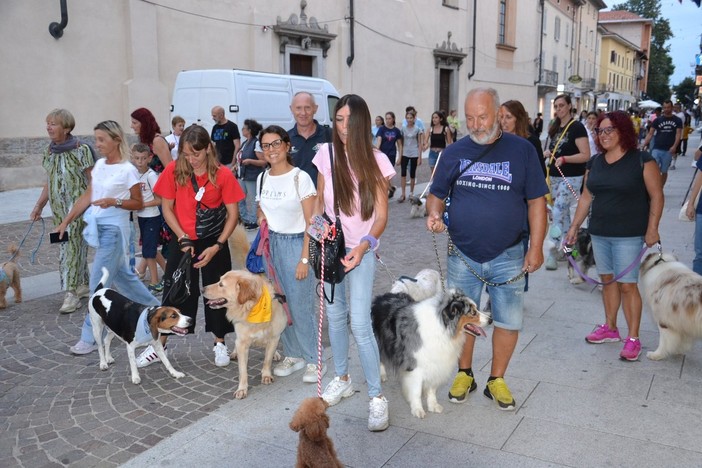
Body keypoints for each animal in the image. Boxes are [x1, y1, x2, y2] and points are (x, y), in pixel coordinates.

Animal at [201, 270, 286, 398]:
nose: (202, 289)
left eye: (221, 284)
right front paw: (242, 389)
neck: (250, 308)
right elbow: (243, 370)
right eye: (219, 281)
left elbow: (267, 360)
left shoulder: (274, 337)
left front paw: (266, 375)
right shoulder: (242, 342)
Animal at [372, 272, 492, 418]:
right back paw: (382, 374)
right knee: (379, 357)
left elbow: (432, 388)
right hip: (377, 340)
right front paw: (417, 409)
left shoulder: (436, 363)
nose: (491, 320)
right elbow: (416, 391)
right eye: (473, 312)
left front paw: (433, 405)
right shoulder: (416, 366)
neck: (443, 327)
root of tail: (382, 296)